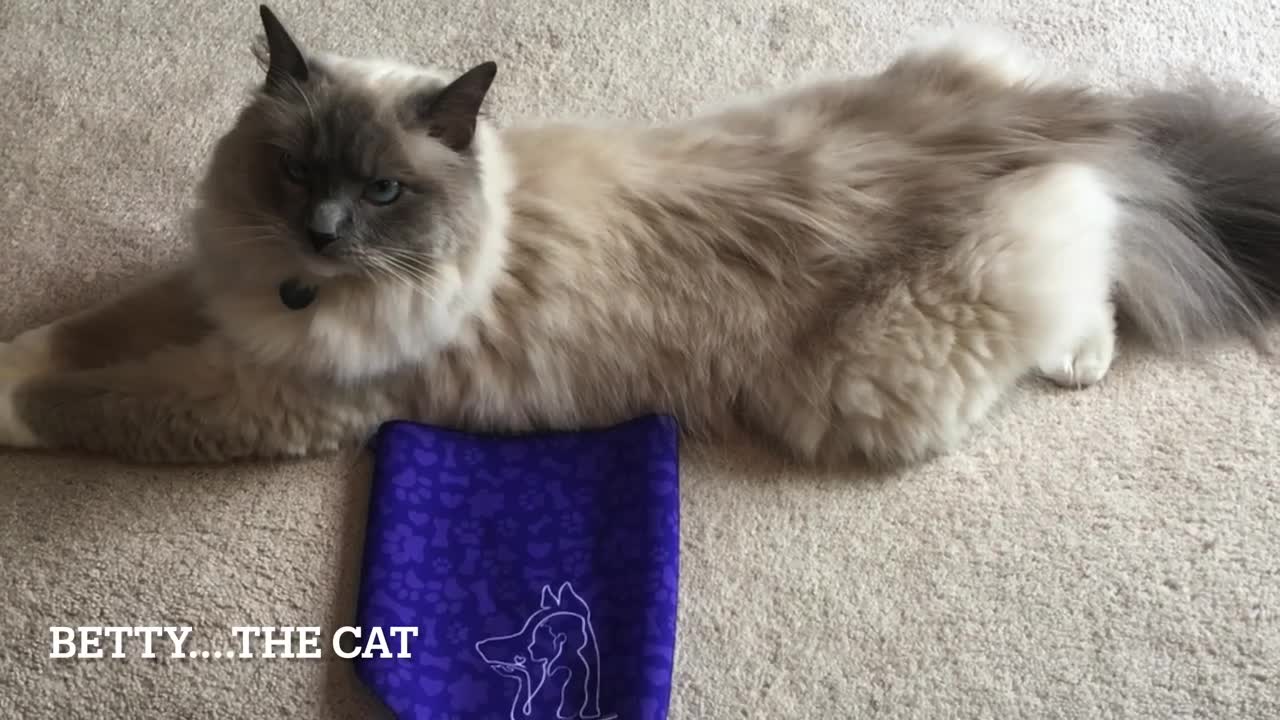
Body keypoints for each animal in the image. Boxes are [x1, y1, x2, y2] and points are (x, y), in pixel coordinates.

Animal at [2, 4, 1280, 466]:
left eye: (382, 194)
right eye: (300, 173)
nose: (318, 233)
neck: (285, 296)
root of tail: (1039, 117)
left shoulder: (265, 396)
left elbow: (89, 401)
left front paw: (10, 411)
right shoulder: (215, 292)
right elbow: (79, 337)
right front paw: (14, 356)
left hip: (874, 388)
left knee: (1095, 264)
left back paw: (1080, 360)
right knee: (1113, 237)